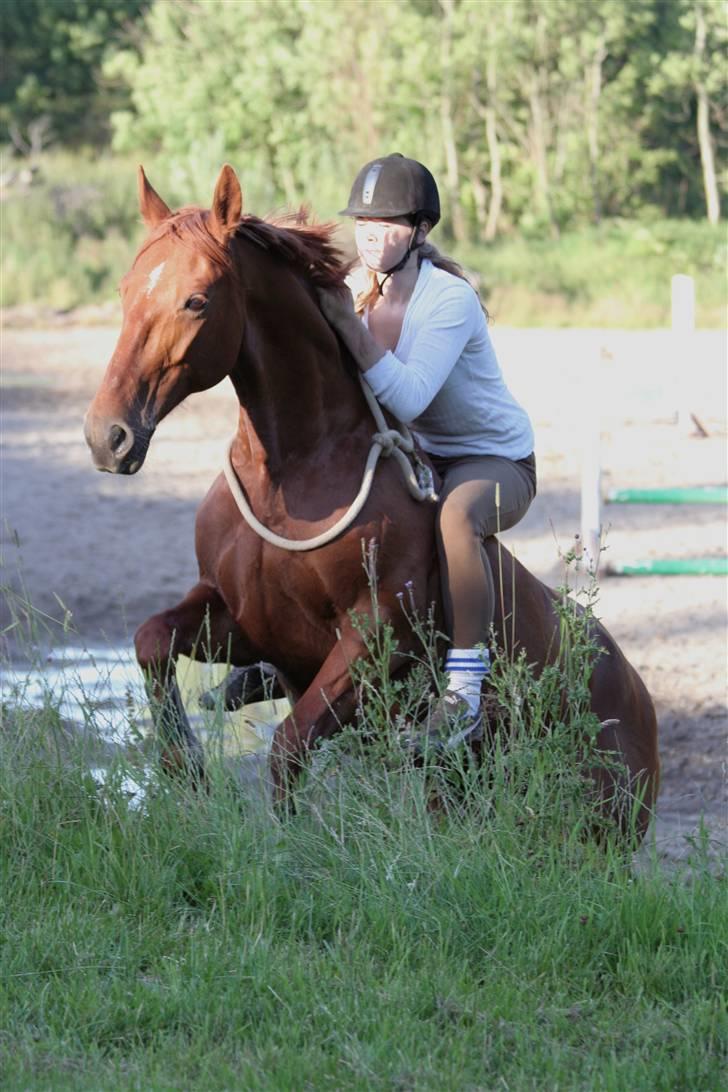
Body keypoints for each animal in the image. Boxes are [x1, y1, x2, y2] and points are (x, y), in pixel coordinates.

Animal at [85, 165, 659, 838]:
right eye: (126, 291)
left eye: (197, 299)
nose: (108, 436)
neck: (291, 474)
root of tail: (639, 701)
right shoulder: (245, 621)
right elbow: (151, 639)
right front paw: (186, 767)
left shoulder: (372, 640)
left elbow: (289, 745)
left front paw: (290, 843)